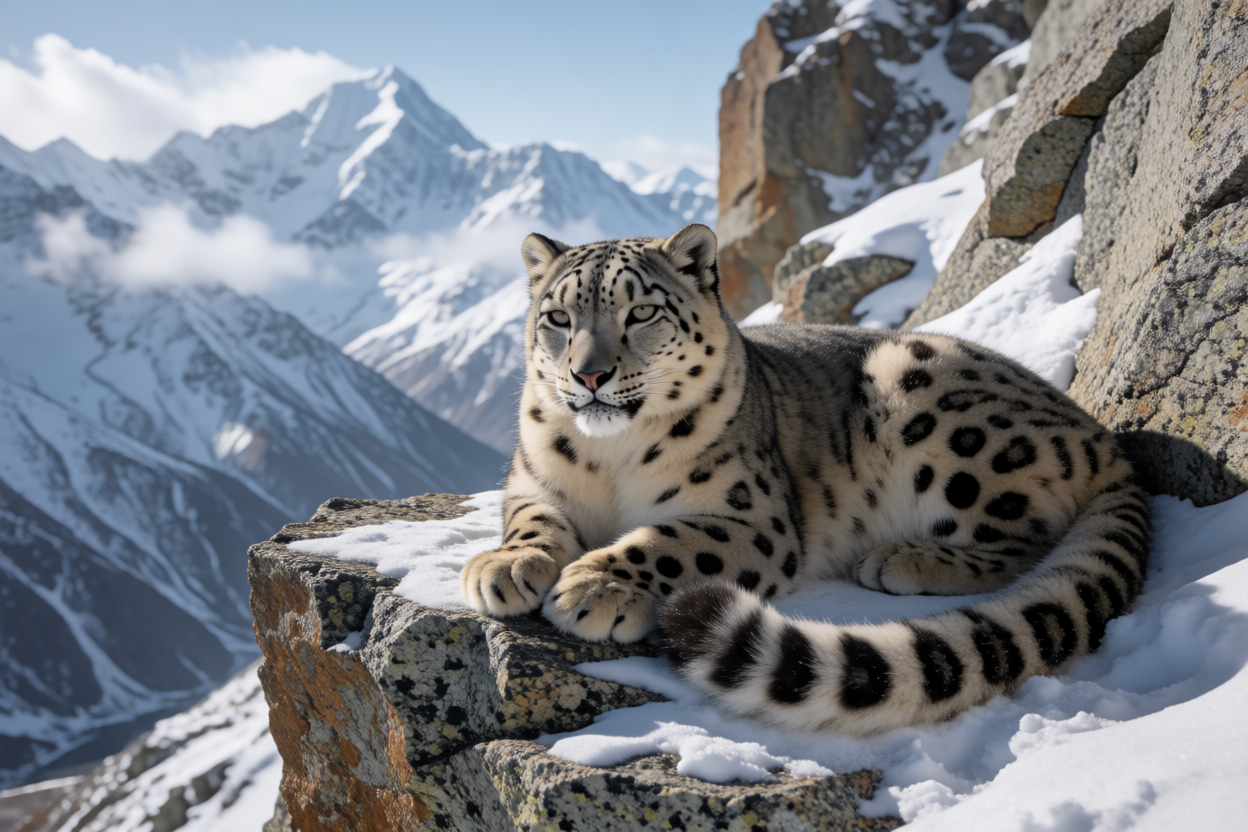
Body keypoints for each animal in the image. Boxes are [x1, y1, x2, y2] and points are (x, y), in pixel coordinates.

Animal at [461, 224, 1149, 735]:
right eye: (557, 317)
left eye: (643, 311)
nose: (588, 375)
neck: (609, 458)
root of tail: (1101, 434)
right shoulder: (532, 481)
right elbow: (531, 519)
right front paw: (504, 567)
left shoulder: (752, 517)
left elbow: (668, 541)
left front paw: (596, 586)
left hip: (925, 392)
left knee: (1029, 538)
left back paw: (902, 559)